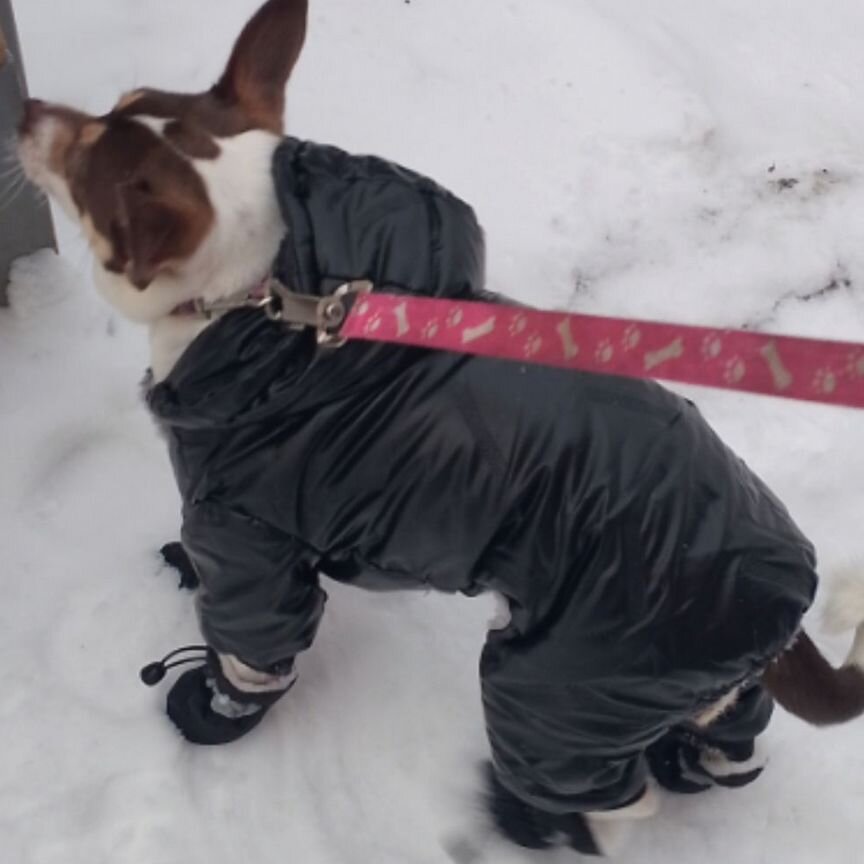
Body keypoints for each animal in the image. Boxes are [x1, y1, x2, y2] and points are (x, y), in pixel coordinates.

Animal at [15, 0, 864, 852]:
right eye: (116, 105)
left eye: (85, 166)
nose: (22, 110)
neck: (273, 302)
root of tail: (776, 605)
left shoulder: (248, 537)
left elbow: (251, 650)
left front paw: (210, 710)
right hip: (664, 685)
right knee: (730, 725)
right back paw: (693, 762)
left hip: (561, 682)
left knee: (615, 800)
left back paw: (533, 820)